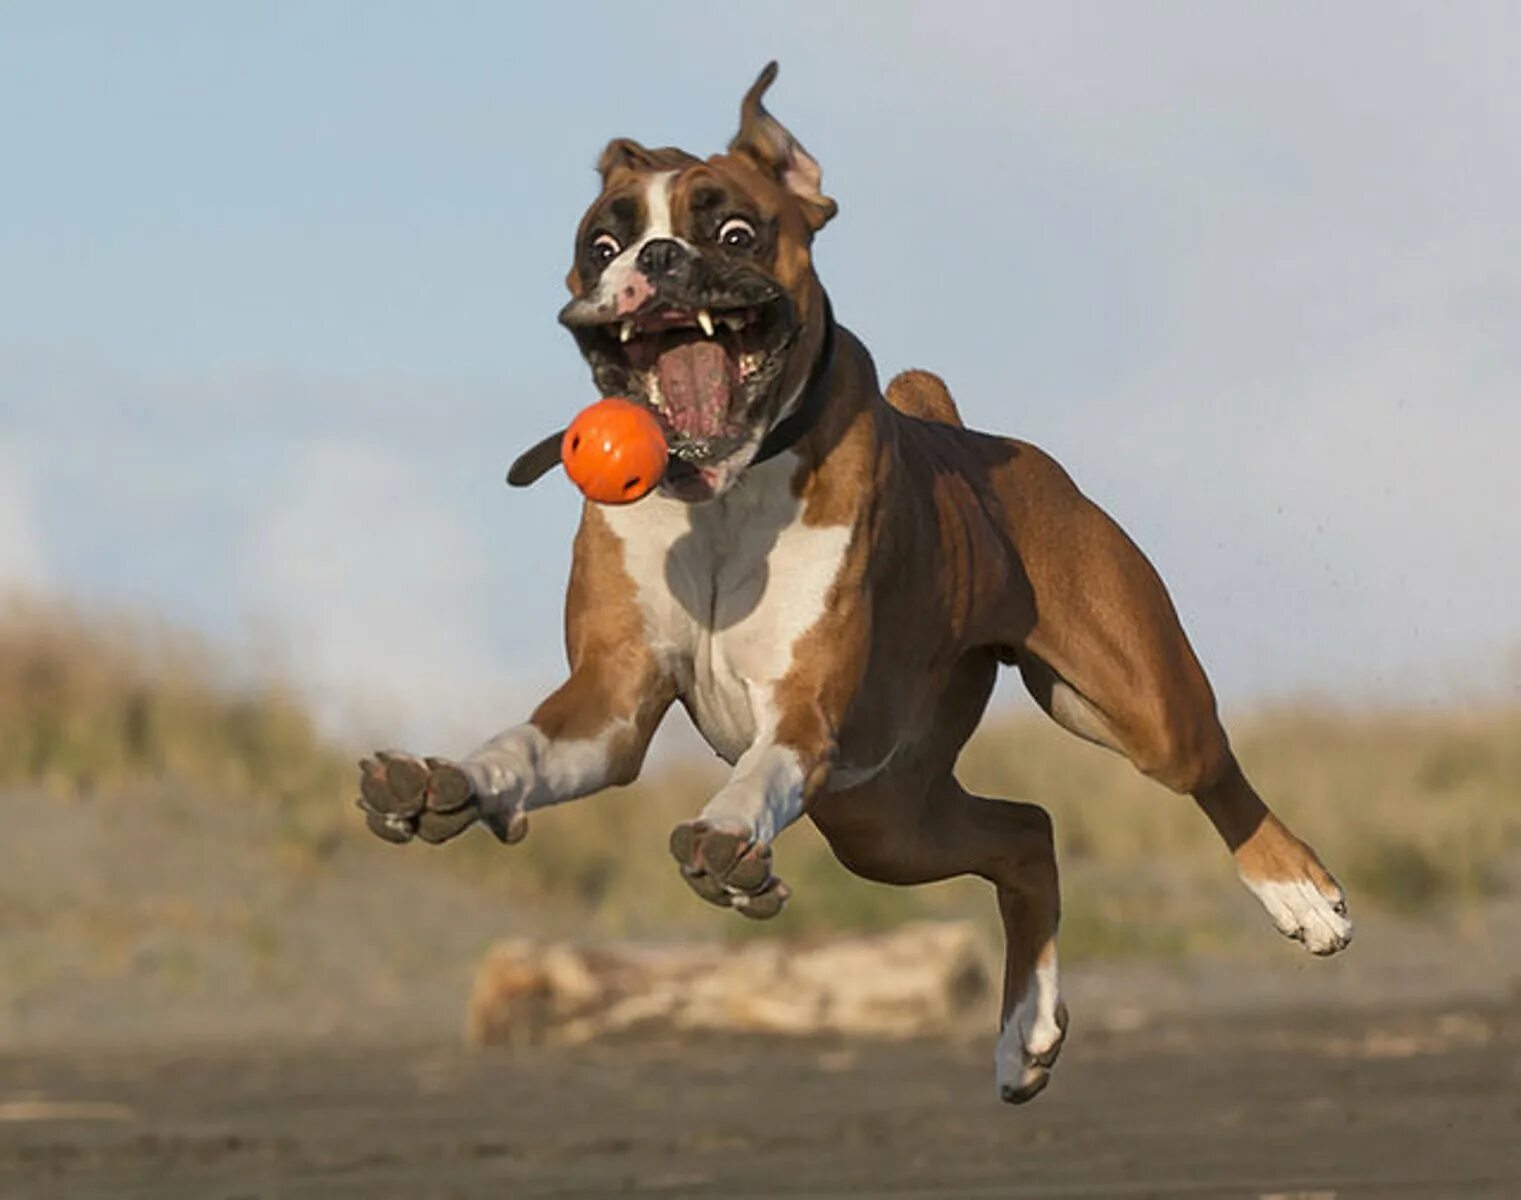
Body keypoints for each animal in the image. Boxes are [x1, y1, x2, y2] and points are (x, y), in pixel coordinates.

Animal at [358, 60, 1356, 1101]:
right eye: (602, 243)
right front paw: (449, 780)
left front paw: (727, 837)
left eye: (734, 233)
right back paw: (1024, 1030)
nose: (658, 259)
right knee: (1026, 833)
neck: (722, 494)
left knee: (1206, 771)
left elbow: (757, 776)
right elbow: (525, 745)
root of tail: (965, 430)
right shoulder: (611, 700)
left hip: (1128, 706)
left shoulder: (799, 714)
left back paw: (1298, 893)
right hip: (884, 819)